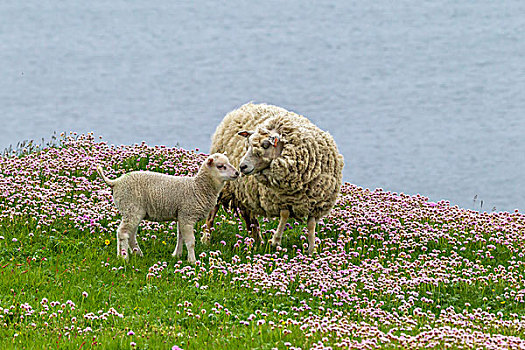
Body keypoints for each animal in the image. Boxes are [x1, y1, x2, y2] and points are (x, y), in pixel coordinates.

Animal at [96, 153, 239, 262]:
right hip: (131, 208)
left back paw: (133, 254)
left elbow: (180, 237)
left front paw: (177, 255)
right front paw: (192, 261)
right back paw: (125, 258)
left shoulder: (182, 216)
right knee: (123, 233)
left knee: (130, 235)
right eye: (220, 166)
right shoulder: (187, 215)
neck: (198, 188)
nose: (237, 173)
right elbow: (190, 241)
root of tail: (116, 182)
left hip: (133, 211)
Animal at [204, 102, 344, 256]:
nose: (242, 166)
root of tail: (244, 107)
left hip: (244, 192)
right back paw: (206, 238)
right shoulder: (281, 198)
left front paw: (311, 249)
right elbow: (284, 214)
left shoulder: (315, 203)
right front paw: (276, 240)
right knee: (213, 211)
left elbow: (312, 224)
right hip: (222, 185)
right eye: (247, 144)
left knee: (249, 216)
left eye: (265, 145)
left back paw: (257, 240)